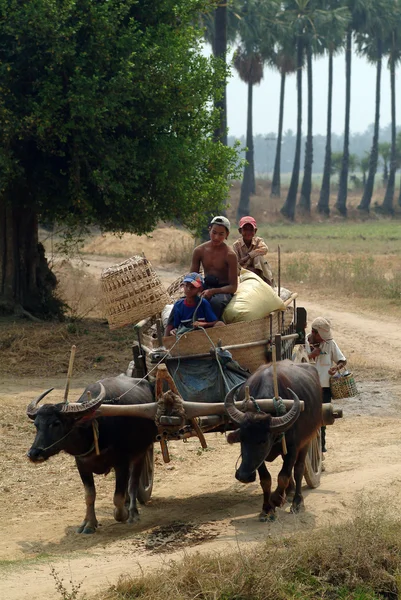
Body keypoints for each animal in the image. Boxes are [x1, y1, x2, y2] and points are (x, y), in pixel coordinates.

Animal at [26, 376, 156, 536]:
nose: (33, 453)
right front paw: (88, 523)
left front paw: (122, 514)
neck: (95, 427)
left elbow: (117, 497)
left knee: (133, 483)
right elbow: (89, 495)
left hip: (142, 452)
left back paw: (133, 513)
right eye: (36, 425)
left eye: (56, 423)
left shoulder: (122, 463)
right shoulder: (82, 465)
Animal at [225, 360, 322, 520]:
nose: (243, 476)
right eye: (242, 439)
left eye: (263, 441)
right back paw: (289, 492)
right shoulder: (260, 460)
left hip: (308, 440)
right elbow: (266, 480)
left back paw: (297, 501)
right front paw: (267, 508)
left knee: (298, 469)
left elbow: (284, 475)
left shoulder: (293, 447)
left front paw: (276, 499)